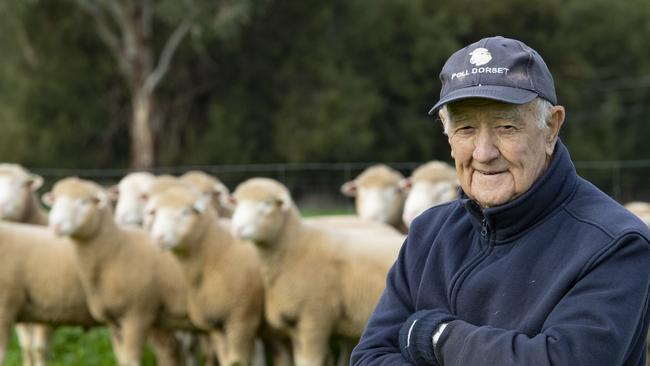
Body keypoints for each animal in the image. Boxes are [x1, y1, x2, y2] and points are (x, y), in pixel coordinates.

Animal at [45, 177, 194, 366]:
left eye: (84, 202)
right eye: (55, 200)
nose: (55, 224)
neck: (116, 250)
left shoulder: (137, 315)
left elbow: (132, 360)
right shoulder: (113, 321)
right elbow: (122, 359)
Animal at [228, 178, 400, 366]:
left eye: (267, 204)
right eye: (237, 202)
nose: (238, 229)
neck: (297, 246)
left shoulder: (314, 318)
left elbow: (309, 361)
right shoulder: (296, 325)